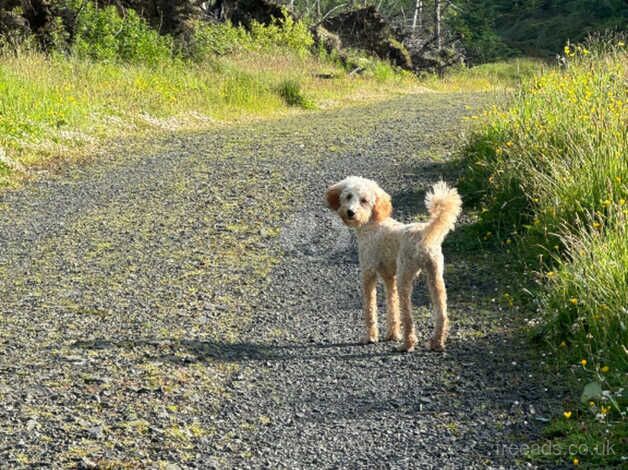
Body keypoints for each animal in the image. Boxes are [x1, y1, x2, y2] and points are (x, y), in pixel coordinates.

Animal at [328, 177, 462, 352]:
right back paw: (436, 343)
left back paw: (407, 344)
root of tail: (424, 233)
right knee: (442, 314)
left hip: (404, 276)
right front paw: (392, 334)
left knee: (408, 317)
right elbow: (392, 305)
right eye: (348, 196)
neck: (372, 222)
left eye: (364, 200)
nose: (351, 212)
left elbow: (370, 308)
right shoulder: (388, 277)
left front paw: (370, 337)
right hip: (435, 277)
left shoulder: (368, 272)